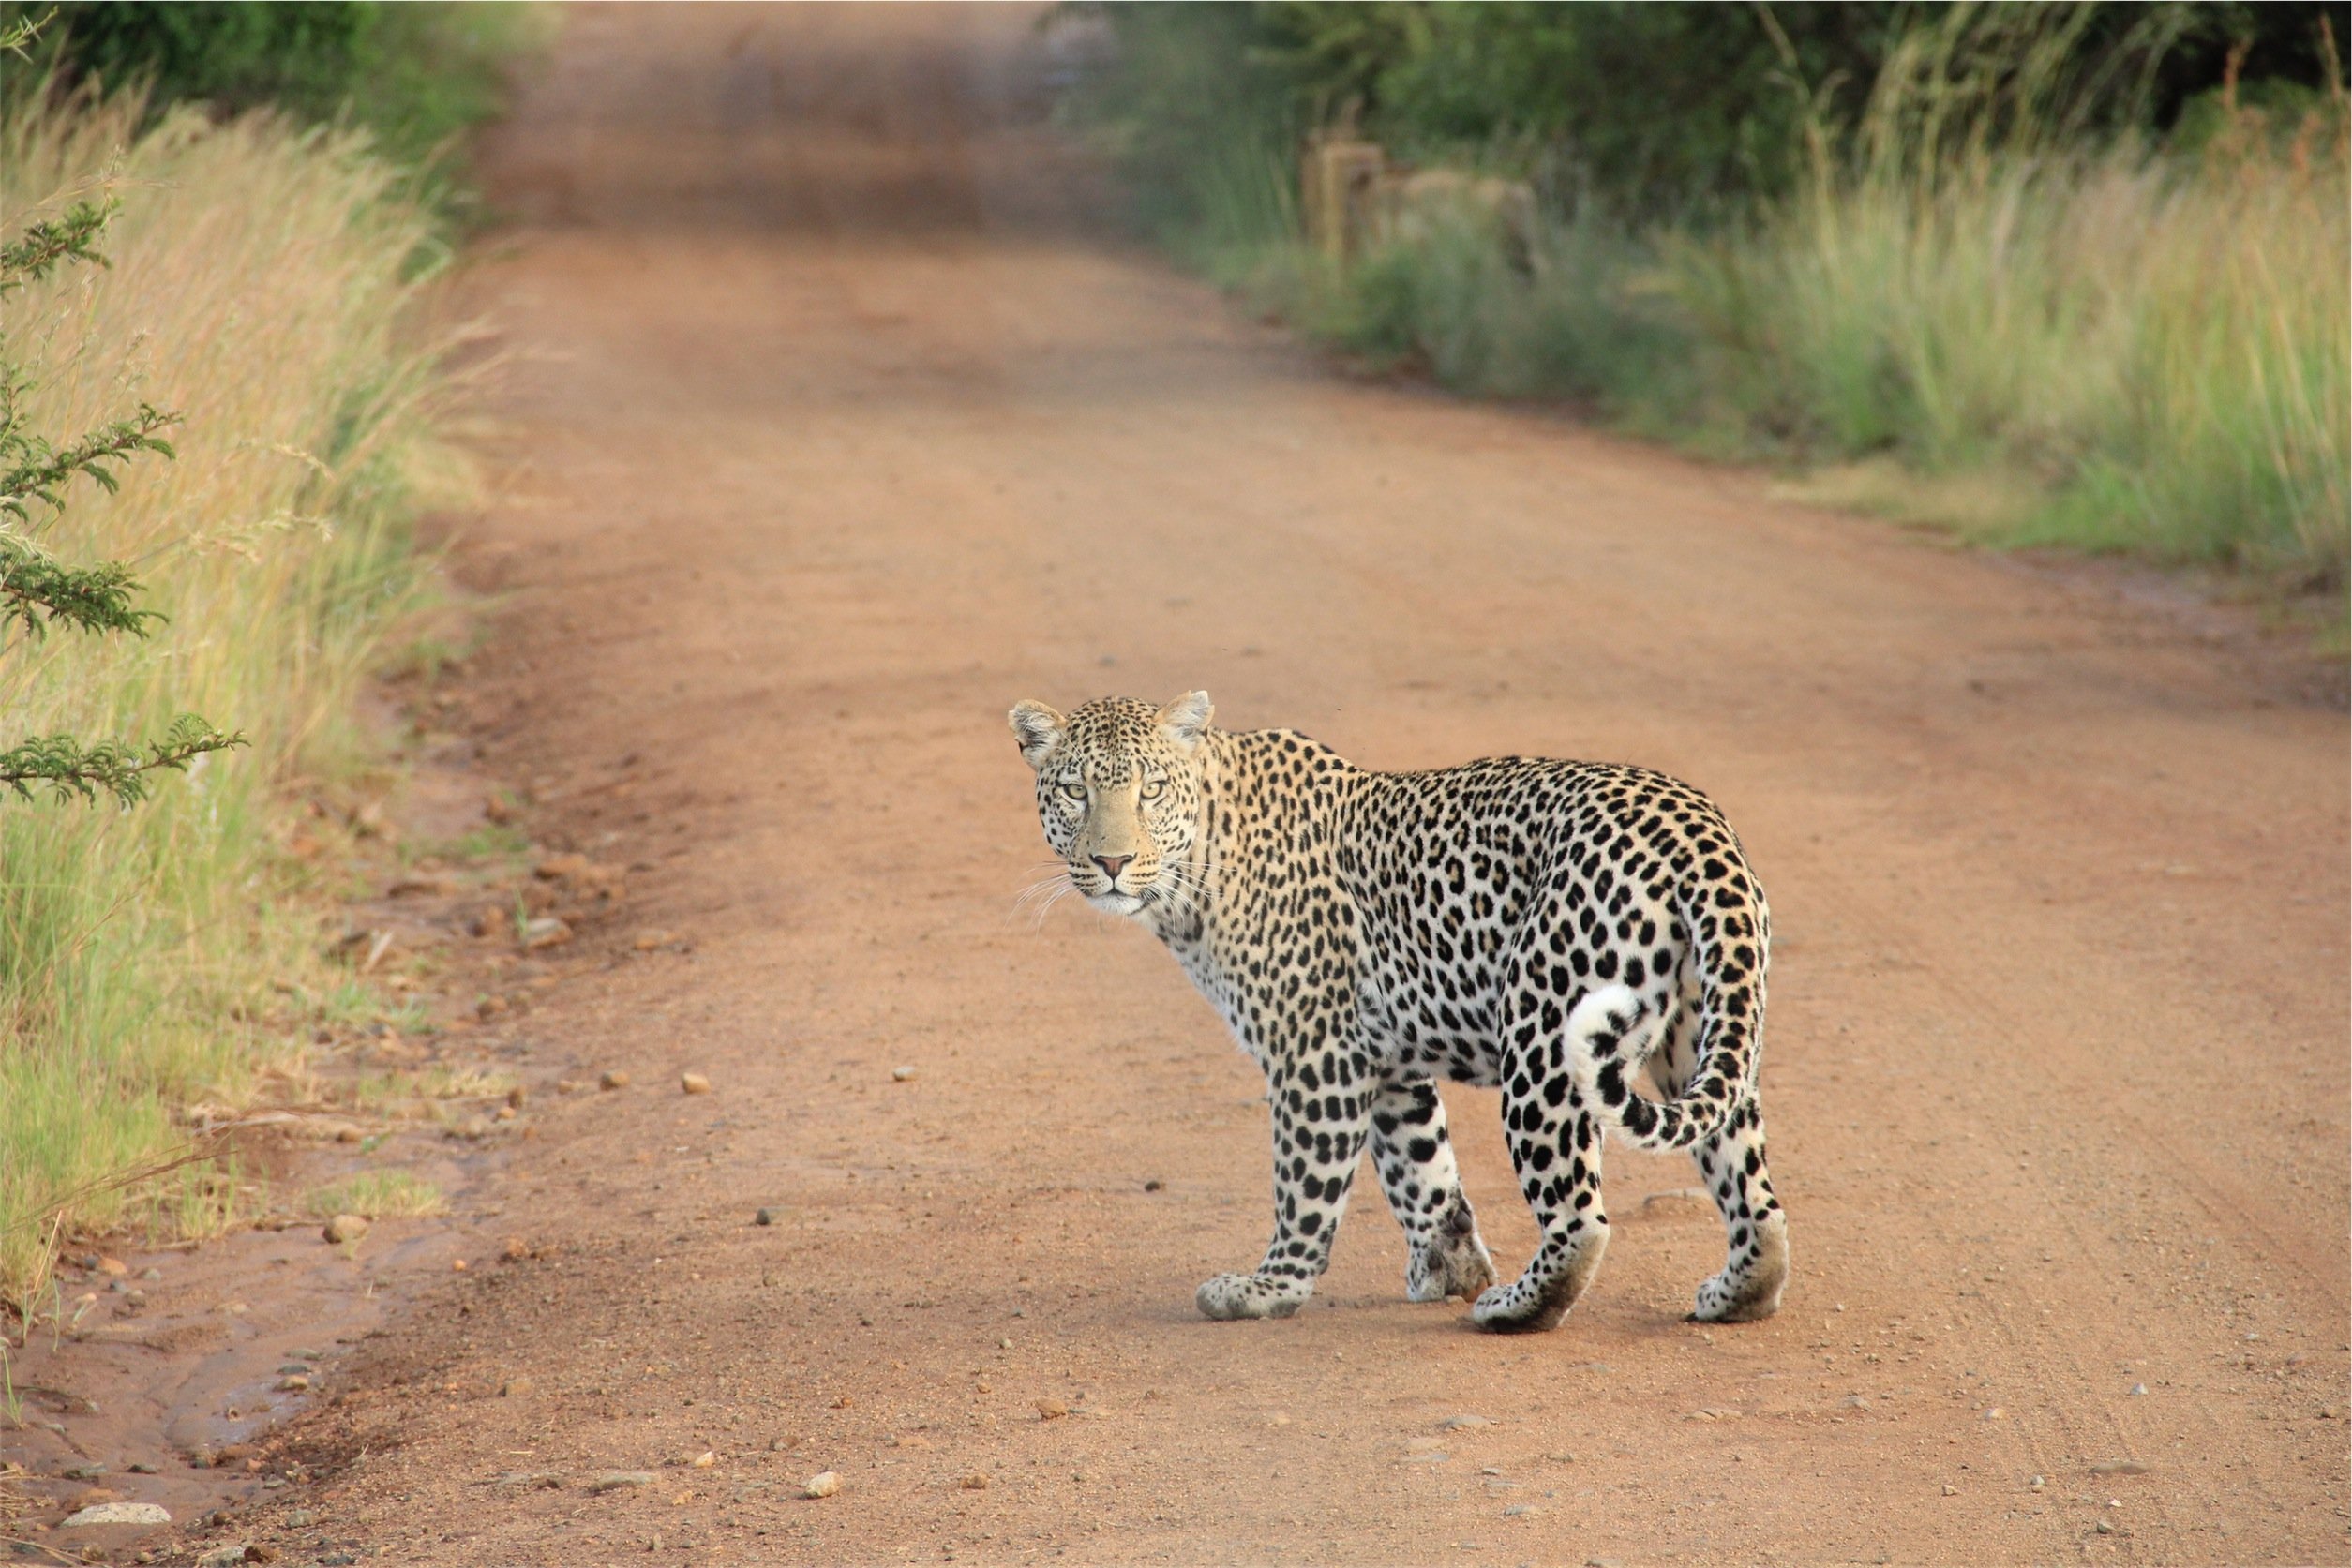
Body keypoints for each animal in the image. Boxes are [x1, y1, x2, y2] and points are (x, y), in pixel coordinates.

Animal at [1001, 691, 1787, 1335]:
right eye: (1074, 791)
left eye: (1151, 789)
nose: (1111, 861)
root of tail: (1695, 829)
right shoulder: (1384, 1060)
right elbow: (1422, 1170)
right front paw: (1449, 1266)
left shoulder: (1313, 1053)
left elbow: (1305, 1186)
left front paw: (1267, 1289)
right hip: (1700, 1033)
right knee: (1751, 1189)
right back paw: (1735, 1293)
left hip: (1544, 1038)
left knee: (1579, 1217)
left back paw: (1514, 1306)